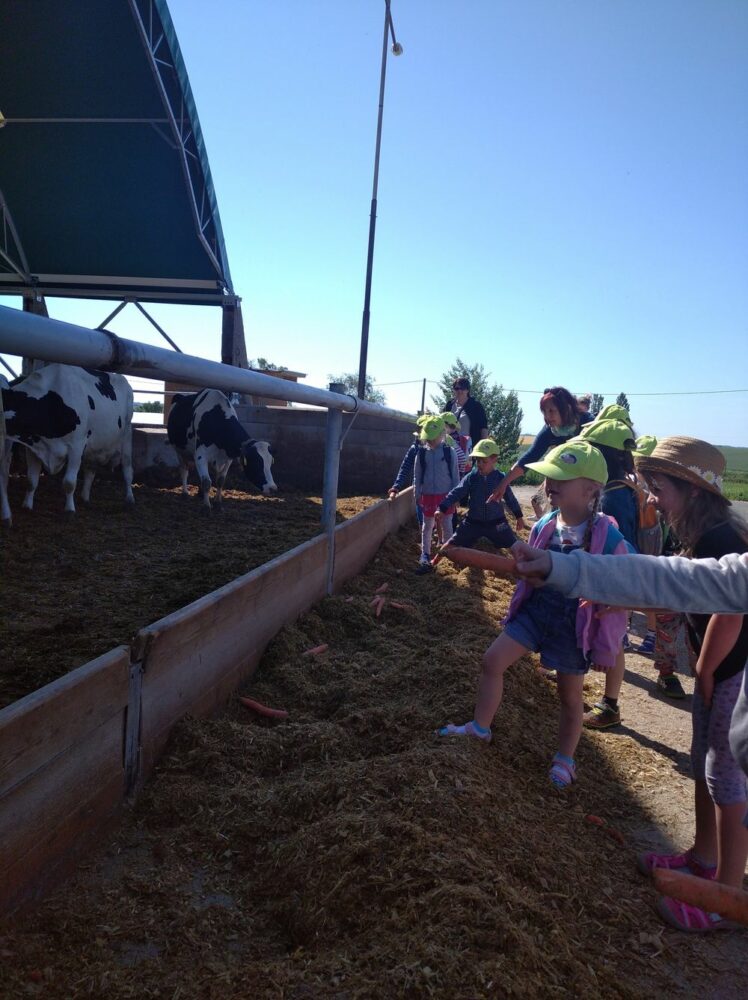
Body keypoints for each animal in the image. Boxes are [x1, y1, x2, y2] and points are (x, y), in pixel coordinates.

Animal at [0, 366, 134, 524]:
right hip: (94, 446)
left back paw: (130, 498)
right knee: (90, 469)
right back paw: (85, 497)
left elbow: (69, 482)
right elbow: (31, 480)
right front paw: (27, 505)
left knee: (127, 470)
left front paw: (69, 510)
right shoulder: (34, 448)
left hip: (127, 437)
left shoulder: (76, 446)